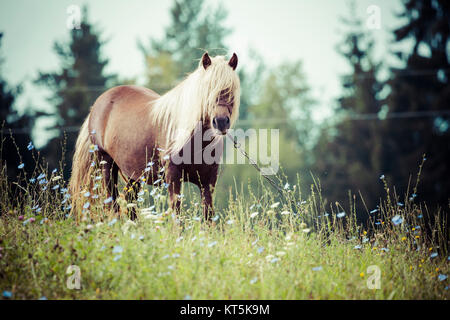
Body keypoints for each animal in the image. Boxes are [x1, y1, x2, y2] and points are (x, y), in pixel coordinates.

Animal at [68, 52, 239, 220]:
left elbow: (209, 217)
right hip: (105, 164)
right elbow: (177, 214)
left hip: (133, 174)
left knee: (130, 203)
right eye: (207, 89)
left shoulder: (208, 181)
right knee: (112, 203)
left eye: (231, 90)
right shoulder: (173, 177)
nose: (221, 122)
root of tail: (97, 104)